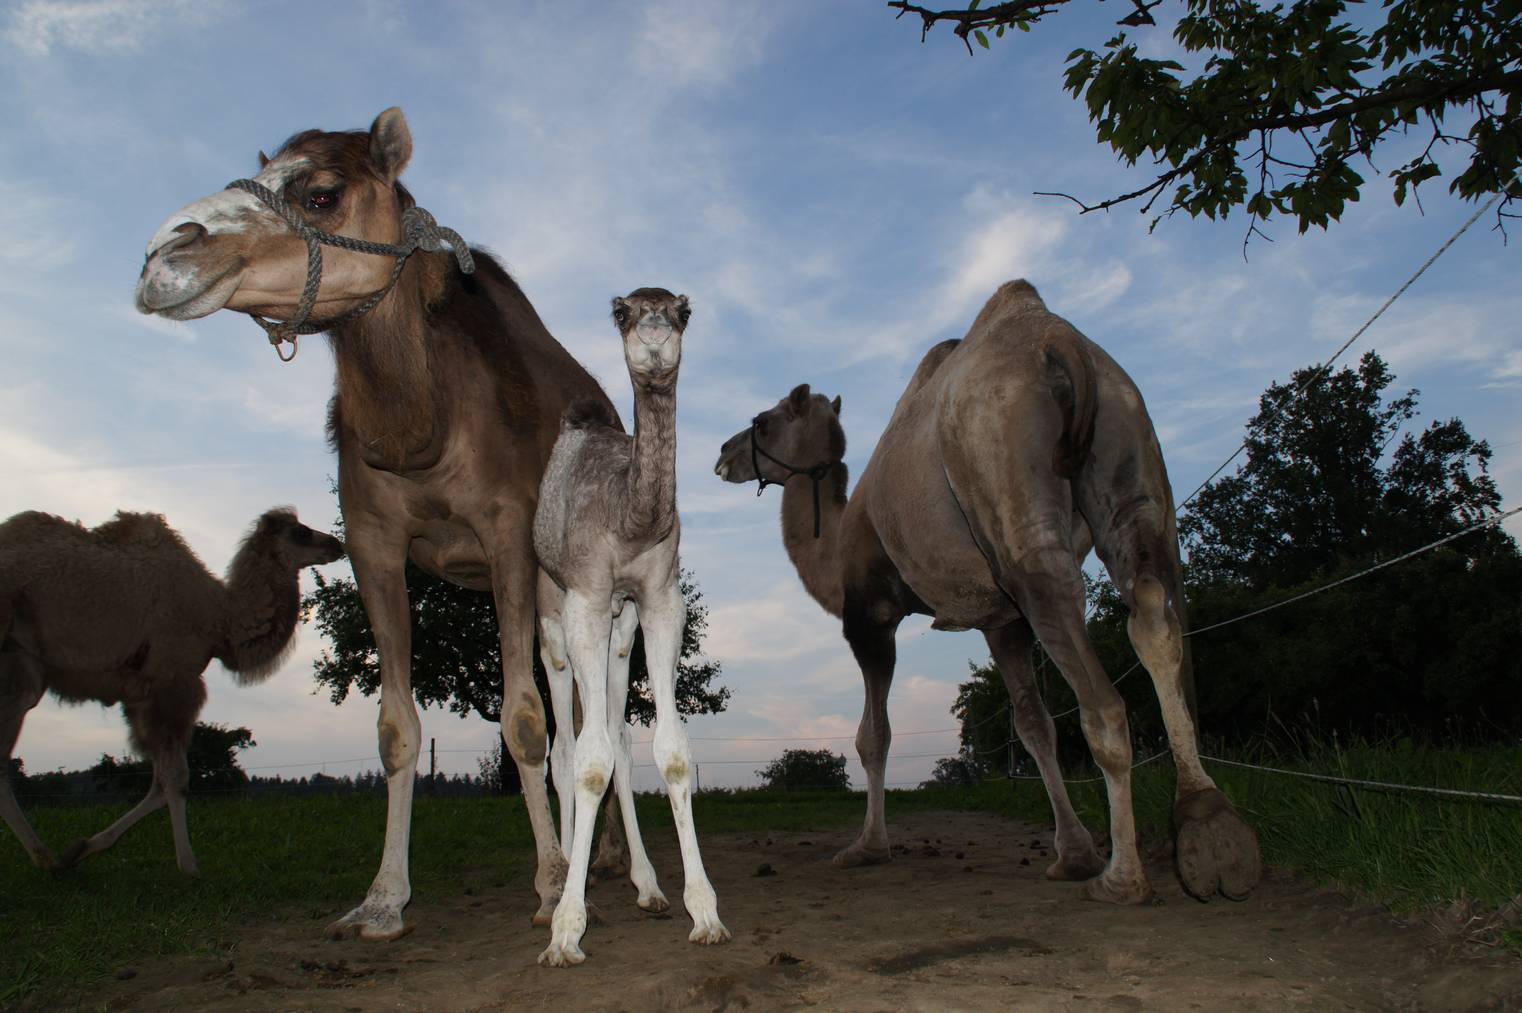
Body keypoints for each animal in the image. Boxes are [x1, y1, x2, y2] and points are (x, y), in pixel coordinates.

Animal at [0, 508, 343, 870]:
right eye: (301, 533)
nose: (337, 544)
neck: (220, 620)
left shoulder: (142, 697)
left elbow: (158, 782)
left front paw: (83, 848)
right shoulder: (175, 682)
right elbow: (177, 777)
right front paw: (189, 865)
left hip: (22, 666)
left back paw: (52, 860)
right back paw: (46, 860)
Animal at [133, 106, 627, 936]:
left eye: (322, 192)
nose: (162, 255)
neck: (422, 430)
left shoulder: (506, 533)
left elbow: (525, 720)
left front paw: (553, 881)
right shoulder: (371, 543)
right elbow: (397, 727)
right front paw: (382, 898)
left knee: (593, 703)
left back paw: (608, 863)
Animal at [532, 284, 727, 961]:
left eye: (683, 310)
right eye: (622, 312)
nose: (654, 334)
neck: (629, 517)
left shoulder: (661, 598)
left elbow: (667, 750)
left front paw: (704, 912)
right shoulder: (586, 598)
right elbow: (585, 759)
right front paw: (567, 931)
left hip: (620, 634)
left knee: (615, 734)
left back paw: (645, 886)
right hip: (552, 619)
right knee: (564, 747)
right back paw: (563, 891)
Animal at [718, 279, 1266, 900]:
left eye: (763, 421)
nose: (722, 454)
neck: (833, 546)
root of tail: (1060, 342)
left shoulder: (871, 617)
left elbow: (873, 736)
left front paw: (866, 848)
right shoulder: (1000, 621)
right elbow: (1033, 726)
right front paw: (1073, 853)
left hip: (1007, 478)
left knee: (1093, 679)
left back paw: (1123, 878)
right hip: (1131, 457)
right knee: (1150, 605)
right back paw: (1210, 828)